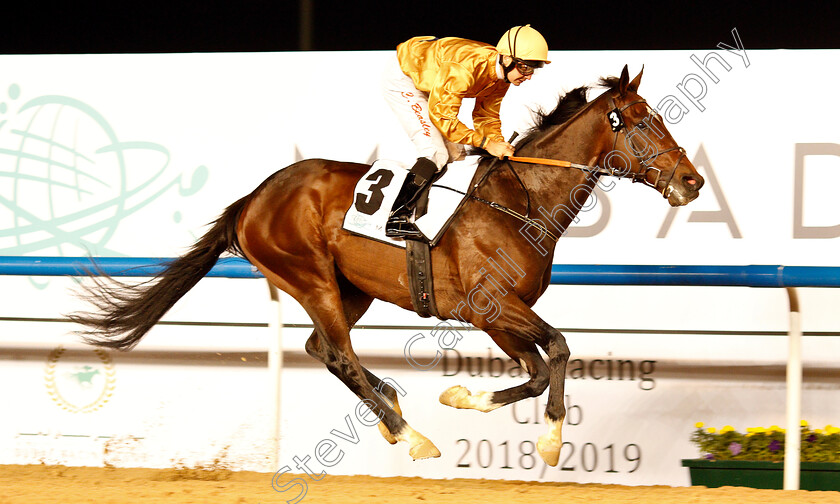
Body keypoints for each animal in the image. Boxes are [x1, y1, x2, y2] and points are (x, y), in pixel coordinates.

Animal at [70, 65, 704, 466]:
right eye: (641, 120)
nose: (693, 181)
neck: (520, 203)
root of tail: (252, 200)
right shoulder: (491, 306)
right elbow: (560, 350)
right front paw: (549, 441)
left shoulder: (498, 316)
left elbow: (537, 369)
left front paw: (463, 398)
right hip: (310, 277)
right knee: (339, 355)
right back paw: (409, 433)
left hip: (350, 288)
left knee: (321, 348)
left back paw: (391, 407)